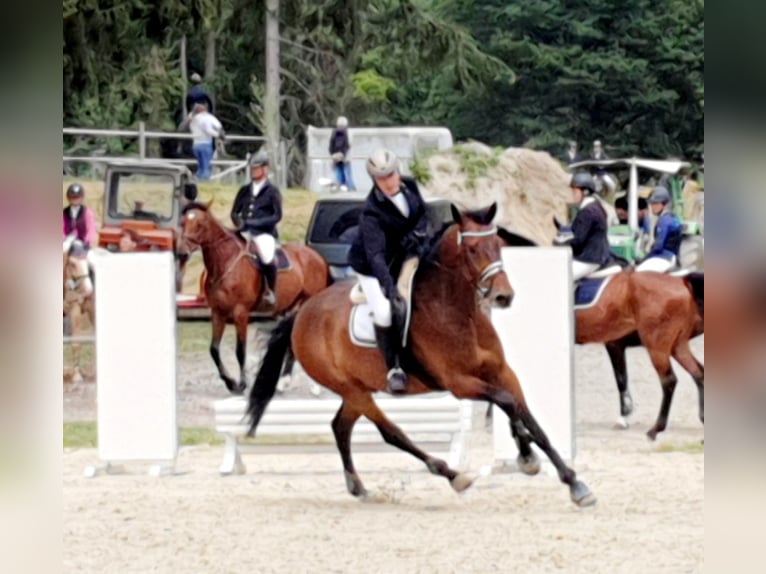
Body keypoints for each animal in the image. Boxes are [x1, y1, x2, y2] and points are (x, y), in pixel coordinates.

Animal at [177, 202, 332, 396]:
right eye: (182, 223)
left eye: (200, 224)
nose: (182, 253)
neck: (225, 263)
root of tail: (317, 256)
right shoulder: (218, 312)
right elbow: (213, 349)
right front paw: (231, 383)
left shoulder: (240, 312)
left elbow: (240, 350)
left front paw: (242, 384)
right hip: (291, 307)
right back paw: (283, 383)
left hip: (307, 304)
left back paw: (314, 386)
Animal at [249, 205, 596, 510]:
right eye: (472, 250)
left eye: (498, 246)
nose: (503, 296)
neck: (457, 313)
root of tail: (302, 314)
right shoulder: (460, 384)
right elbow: (508, 403)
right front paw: (533, 462)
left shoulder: (502, 372)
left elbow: (527, 416)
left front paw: (566, 478)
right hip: (353, 389)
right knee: (390, 433)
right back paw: (453, 476)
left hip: (357, 389)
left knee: (340, 427)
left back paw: (358, 486)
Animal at [498, 228, 708, 440]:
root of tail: (681, 281)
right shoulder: (615, 344)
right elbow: (621, 379)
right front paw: (623, 418)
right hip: (676, 345)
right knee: (698, 373)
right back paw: (700, 417)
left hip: (657, 346)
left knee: (669, 380)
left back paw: (656, 429)